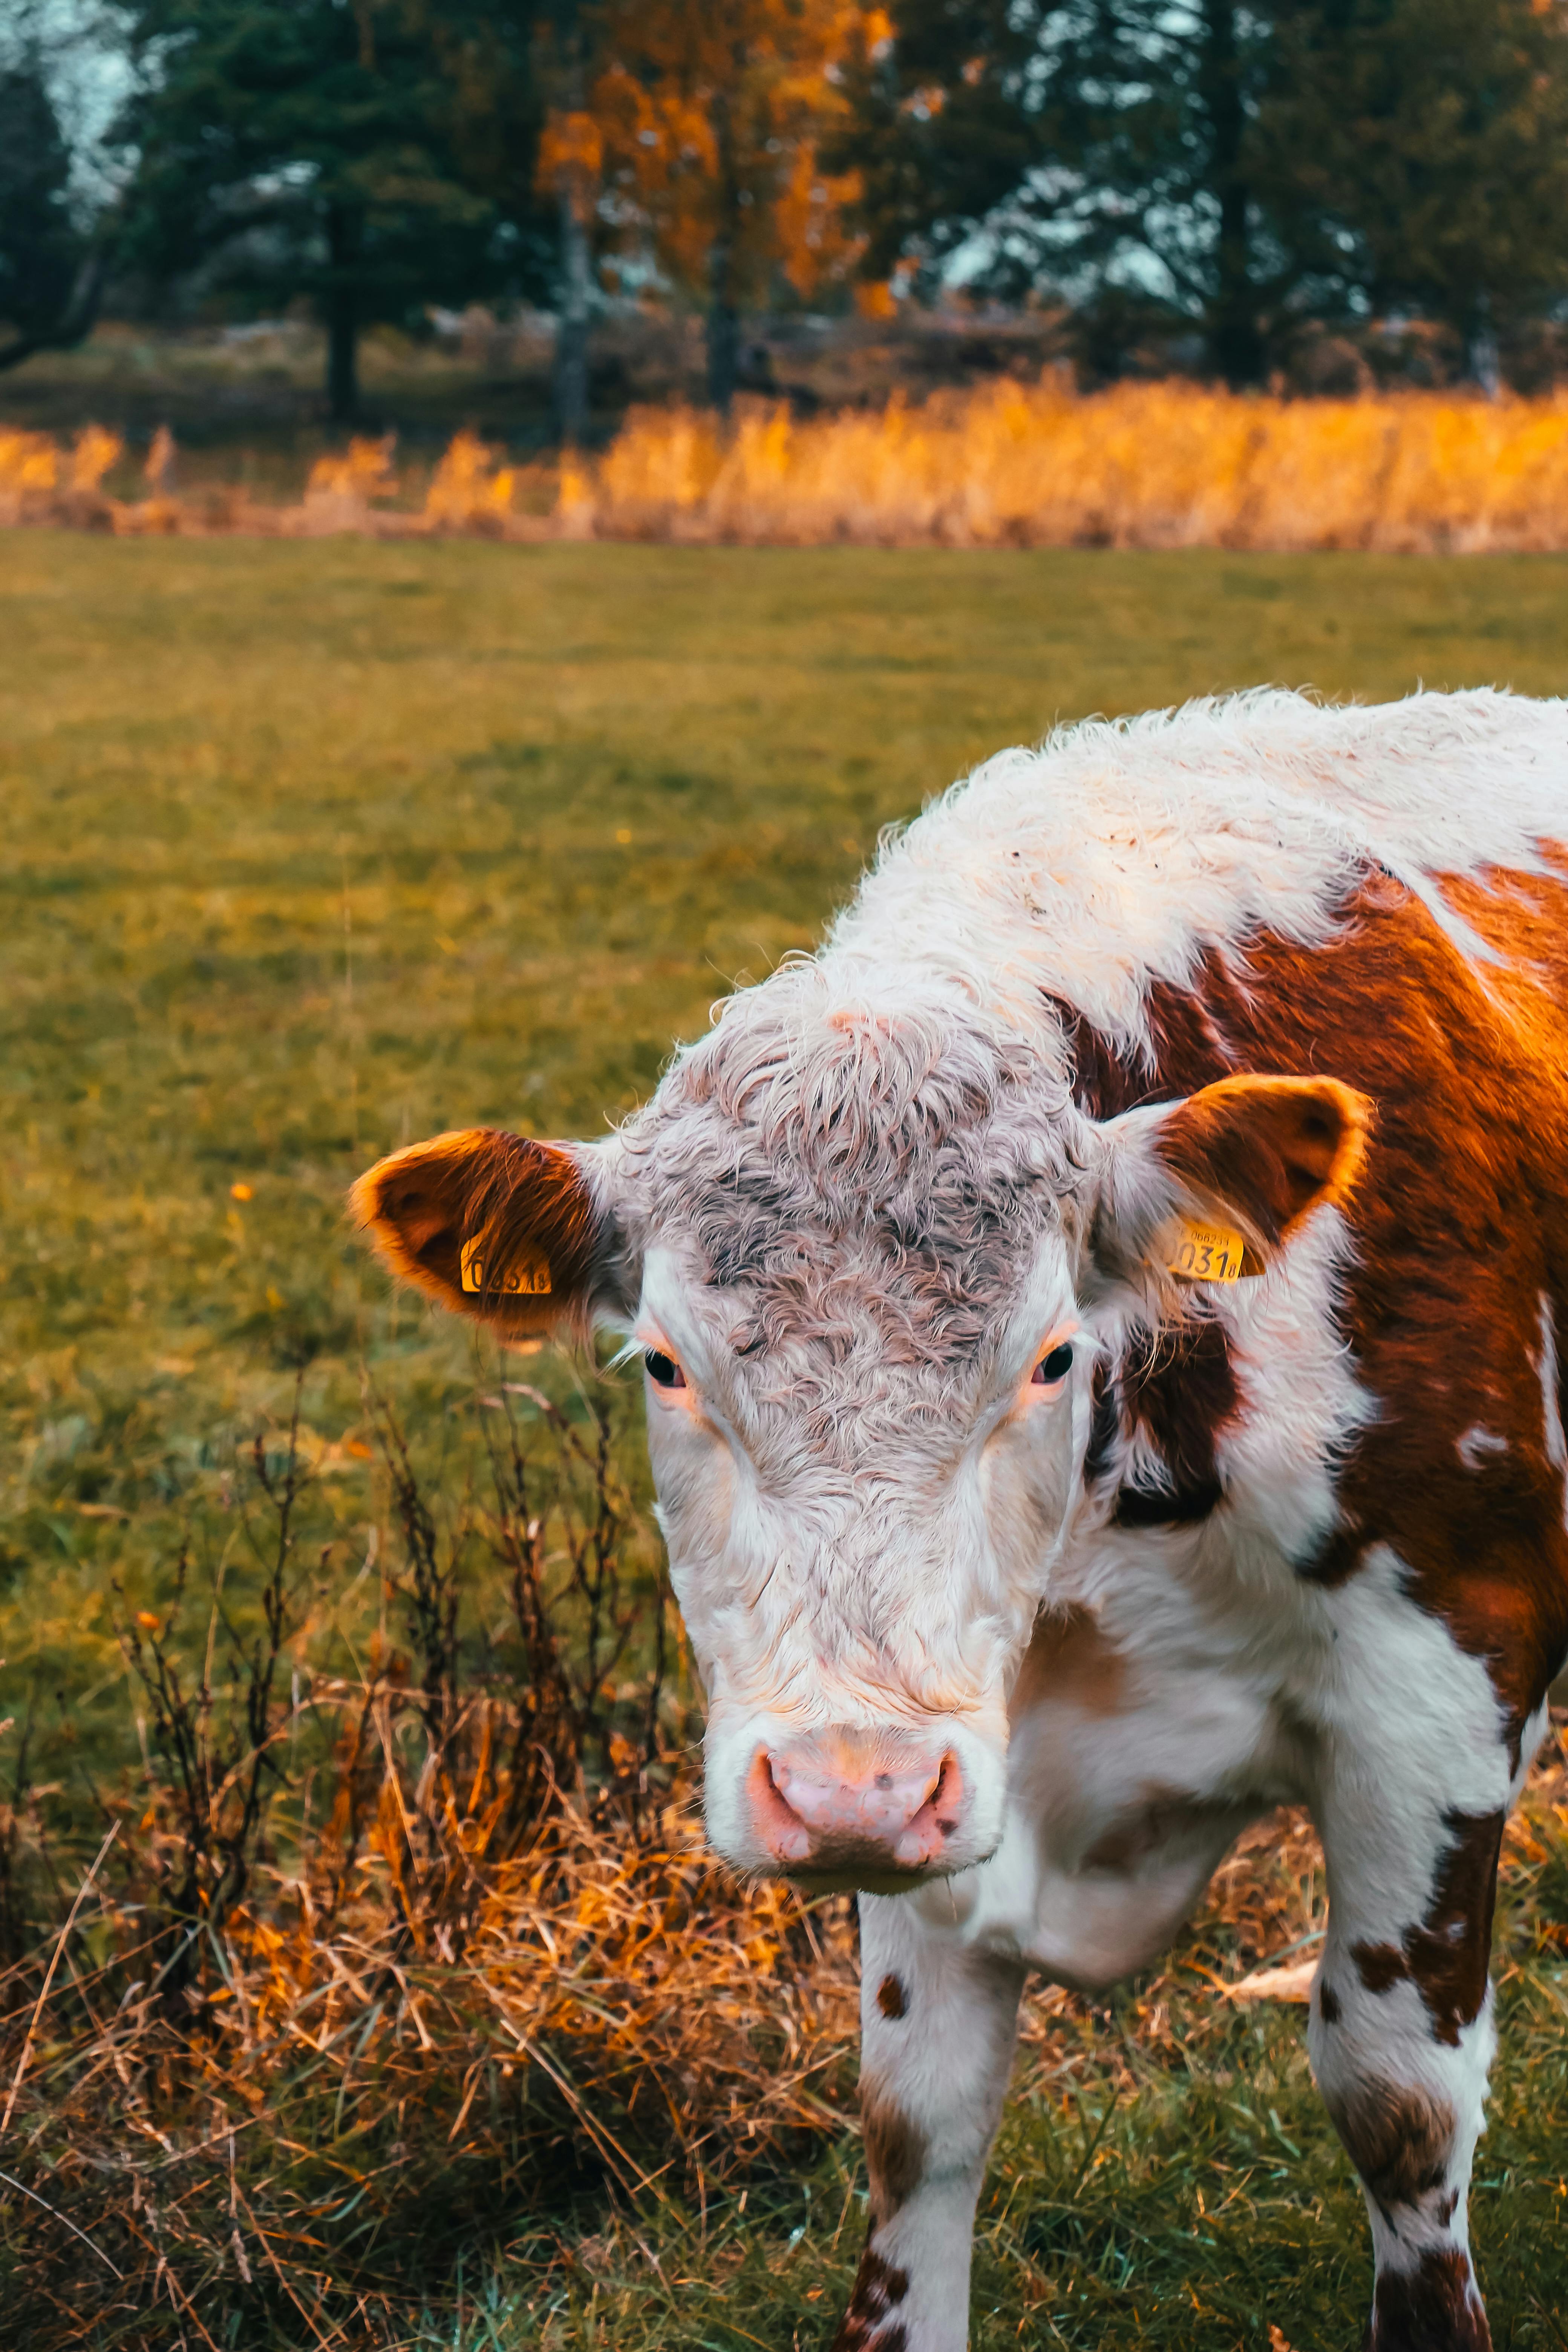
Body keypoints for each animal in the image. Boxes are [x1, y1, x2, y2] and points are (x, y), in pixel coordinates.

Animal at [351, 686, 1568, 2352]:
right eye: (663, 1362)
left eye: (1049, 1355)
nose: (841, 1795)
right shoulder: (936, 1775)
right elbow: (914, 2128)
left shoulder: (1440, 1688)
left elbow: (1399, 2108)